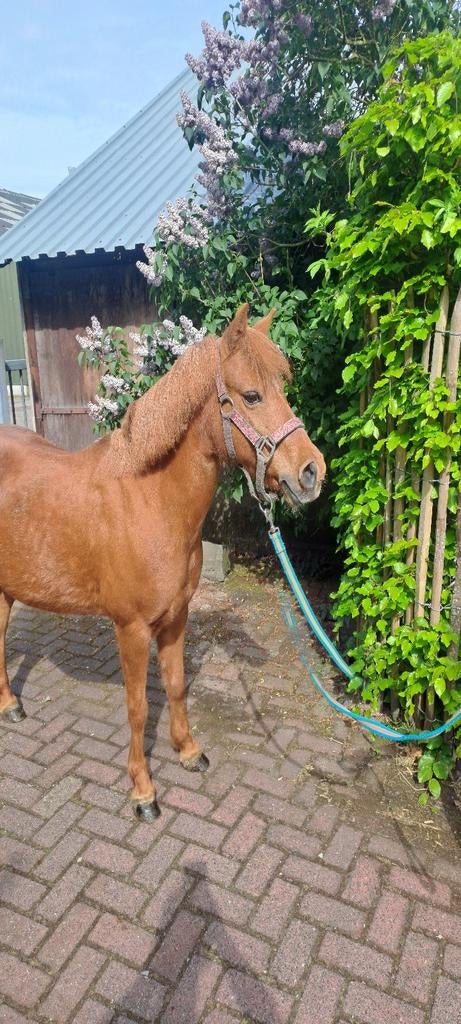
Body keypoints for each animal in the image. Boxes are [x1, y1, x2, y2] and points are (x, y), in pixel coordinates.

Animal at [0, 304, 326, 820]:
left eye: (283, 387)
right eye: (252, 395)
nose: (312, 472)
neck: (150, 501)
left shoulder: (176, 616)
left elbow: (174, 685)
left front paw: (189, 751)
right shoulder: (131, 629)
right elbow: (137, 707)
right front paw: (143, 790)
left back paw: (10, 705)